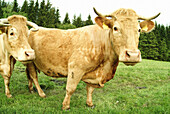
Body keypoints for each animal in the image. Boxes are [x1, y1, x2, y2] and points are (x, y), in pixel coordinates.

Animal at [25, 8, 160, 109]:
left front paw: (89, 103)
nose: (132, 55)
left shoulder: (94, 74)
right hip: (30, 61)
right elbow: (70, 88)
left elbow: (90, 89)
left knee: (29, 76)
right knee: (34, 76)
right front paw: (65, 106)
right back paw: (41, 93)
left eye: (138, 29)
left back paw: (31, 90)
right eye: (115, 28)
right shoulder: (75, 68)